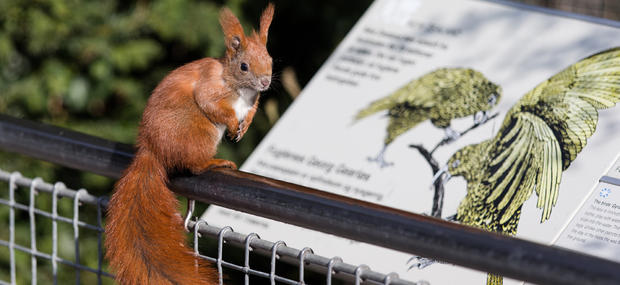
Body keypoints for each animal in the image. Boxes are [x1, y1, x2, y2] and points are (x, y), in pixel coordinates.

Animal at [104, 3, 274, 282]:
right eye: (244, 66)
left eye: (270, 60)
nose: (266, 82)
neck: (240, 87)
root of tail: (153, 151)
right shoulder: (209, 88)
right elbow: (210, 103)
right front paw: (232, 124)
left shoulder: (252, 102)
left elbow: (249, 113)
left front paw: (244, 127)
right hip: (201, 133)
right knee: (193, 166)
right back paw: (216, 162)